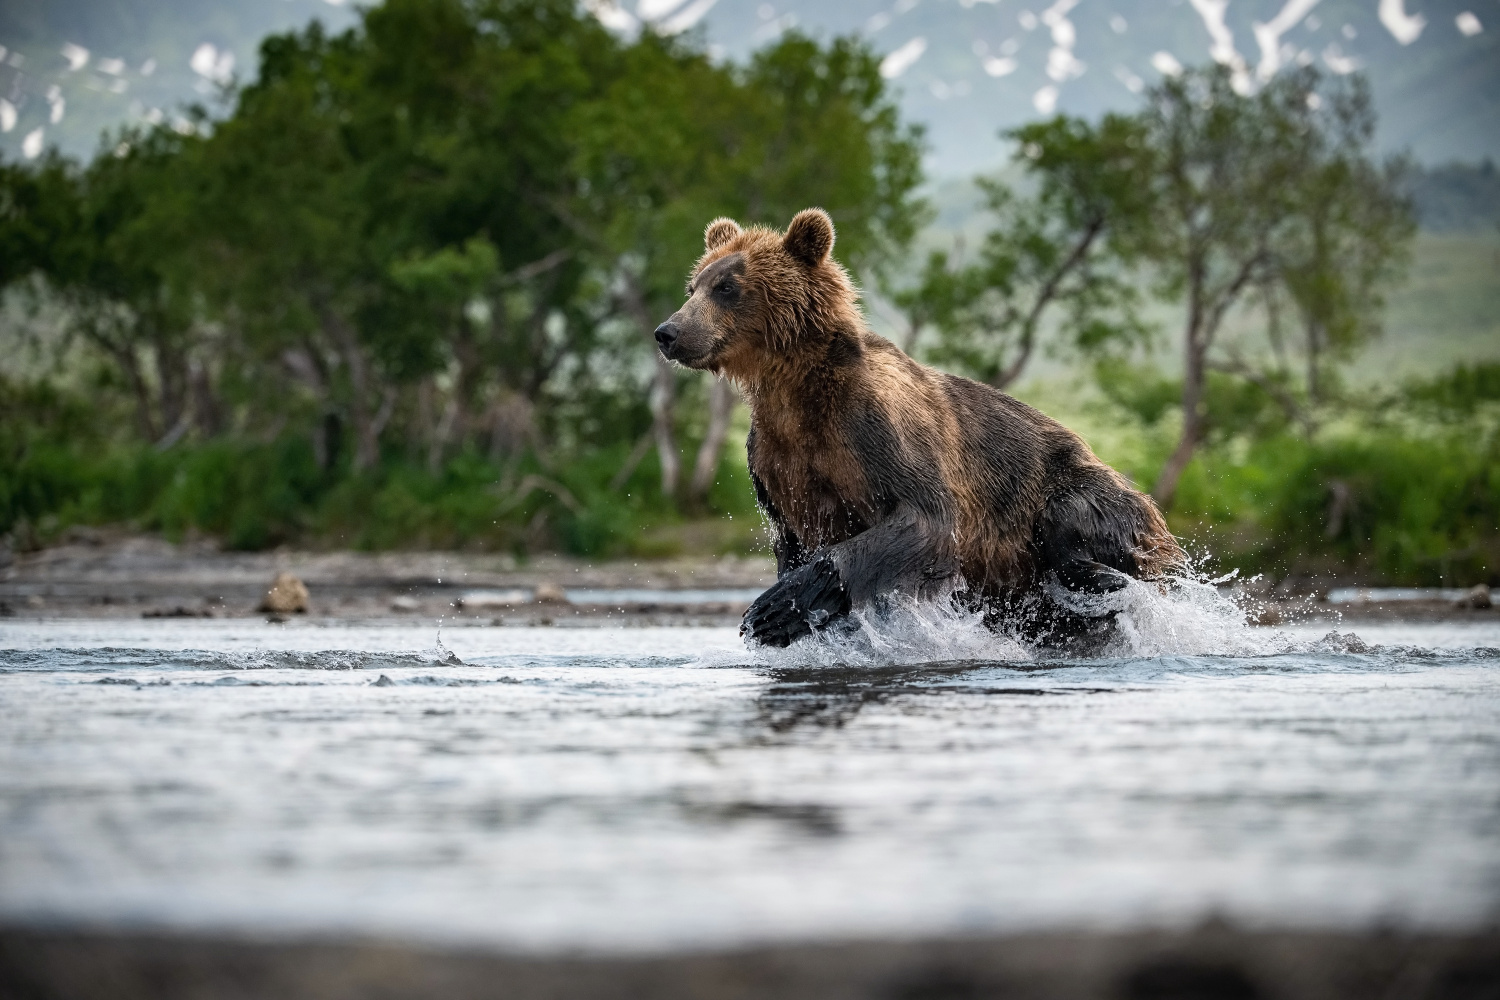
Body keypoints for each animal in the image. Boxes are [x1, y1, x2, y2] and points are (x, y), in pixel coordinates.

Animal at [657, 209, 1182, 650]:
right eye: (693, 286)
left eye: (727, 286)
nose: (668, 332)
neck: (798, 388)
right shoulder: (776, 459)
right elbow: (793, 537)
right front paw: (785, 610)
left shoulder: (876, 429)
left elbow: (926, 516)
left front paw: (777, 607)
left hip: (1084, 492)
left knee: (1071, 523)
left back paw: (1098, 574)